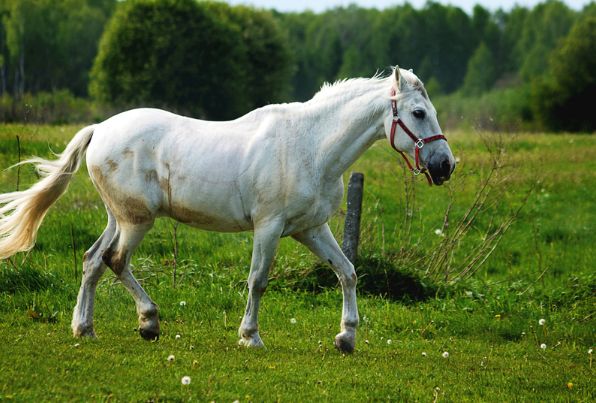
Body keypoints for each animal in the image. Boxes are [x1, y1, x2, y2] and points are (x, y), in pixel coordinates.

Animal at [0, 68, 452, 352]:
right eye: (417, 113)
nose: (445, 165)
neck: (311, 146)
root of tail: (100, 130)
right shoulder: (268, 227)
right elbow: (258, 281)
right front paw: (250, 336)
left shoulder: (311, 229)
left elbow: (348, 272)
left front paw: (346, 338)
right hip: (136, 221)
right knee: (115, 260)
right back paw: (148, 322)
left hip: (121, 217)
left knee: (93, 260)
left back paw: (86, 328)